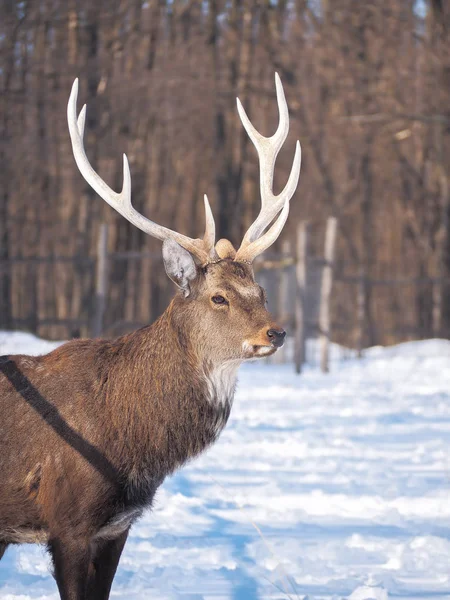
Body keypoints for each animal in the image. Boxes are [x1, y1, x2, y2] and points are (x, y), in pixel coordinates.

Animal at [0, 75, 302, 600]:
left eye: (261, 291)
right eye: (218, 297)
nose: (276, 331)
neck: (133, 444)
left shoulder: (117, 528)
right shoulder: (68, 524)